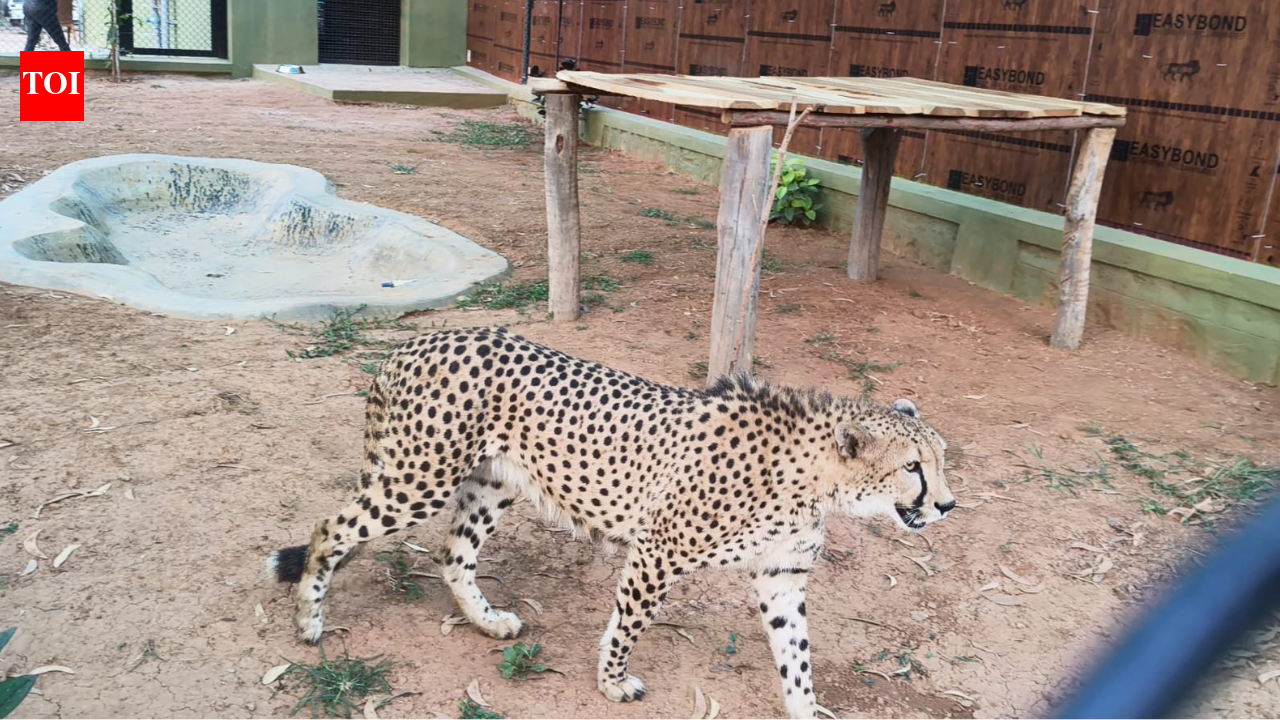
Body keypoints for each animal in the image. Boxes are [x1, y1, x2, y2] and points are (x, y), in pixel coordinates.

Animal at [267, 326, 955, 719]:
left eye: (942, 460)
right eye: (914, 467)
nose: (947, 505)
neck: (815, 479)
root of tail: (415, 342)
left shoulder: (780, 578)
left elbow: (797, 657)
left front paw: (806, 708)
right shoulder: (658, 550)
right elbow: (629, 623)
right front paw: (612, 683)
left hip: (492, 484)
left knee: (453, 555)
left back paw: (488, 622)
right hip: (419, 477)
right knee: (330, 528)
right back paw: (309, 620)